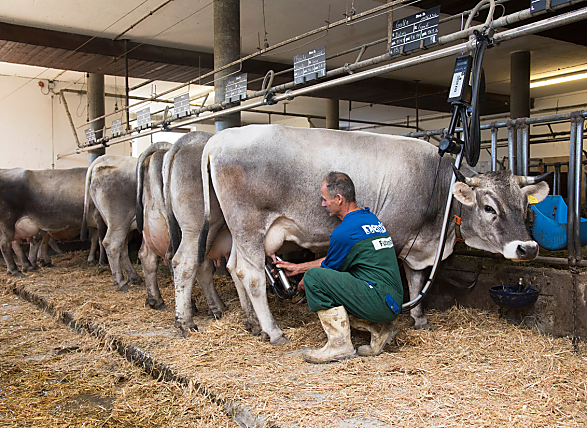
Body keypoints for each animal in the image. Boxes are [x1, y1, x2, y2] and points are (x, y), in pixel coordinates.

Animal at [82, 155, 142, 291]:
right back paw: (121, 281)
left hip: (121, 224)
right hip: (119, 220)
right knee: (112, 244)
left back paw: (132, 277)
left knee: (122, 247)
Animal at [163, 131, 228, 335]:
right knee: (184, 263)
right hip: (197, 227)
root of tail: (187, 139)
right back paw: (186, 323)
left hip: (186, 230)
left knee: (189, 261)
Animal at [199, 124, 549, 346]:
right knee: (253, 276)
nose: (528, 248)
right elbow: (402, 279)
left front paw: (420, 319)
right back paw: (273, 332)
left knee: (234, 268)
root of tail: (218, 140)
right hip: (249, 225)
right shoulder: (399, 234)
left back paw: (250, 322)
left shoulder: (418, 243)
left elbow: (417, 281)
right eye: (489, 208)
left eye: (525, 207)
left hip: (239, 231)